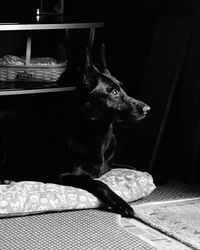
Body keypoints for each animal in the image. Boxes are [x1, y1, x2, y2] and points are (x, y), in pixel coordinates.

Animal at [0, 45, 150, 219]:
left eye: (122, 88)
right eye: (113, 92)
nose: (147, 109)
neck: (98, 134)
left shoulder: (111, 164)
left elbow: (134, 167)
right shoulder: (63, 174)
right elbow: (99, 183)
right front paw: (122, 204)